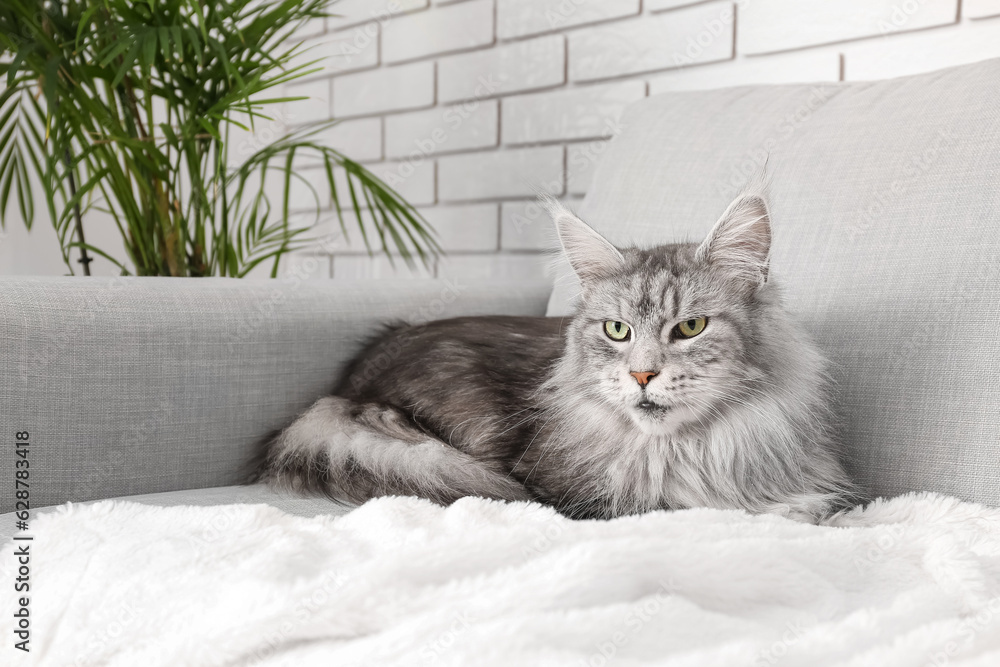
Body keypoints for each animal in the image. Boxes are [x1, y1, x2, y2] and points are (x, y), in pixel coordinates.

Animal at [256, 189, 852, 520]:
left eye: (691, 327)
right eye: (617, 330)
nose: (642, 375)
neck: (694, 449)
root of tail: (344, 390)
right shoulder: (581, 493)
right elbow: (691, 502)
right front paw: (792, 510)